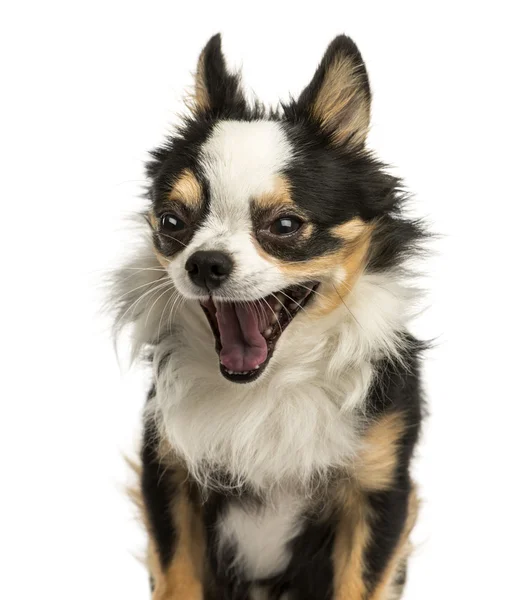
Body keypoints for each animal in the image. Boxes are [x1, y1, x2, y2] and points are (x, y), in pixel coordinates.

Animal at [111, 34, 424, 600]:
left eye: (284, 225)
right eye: (172, 222)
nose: (204, 262)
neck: (269, 385)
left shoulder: (378, 490)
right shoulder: (169, 477)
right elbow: (179, 576)